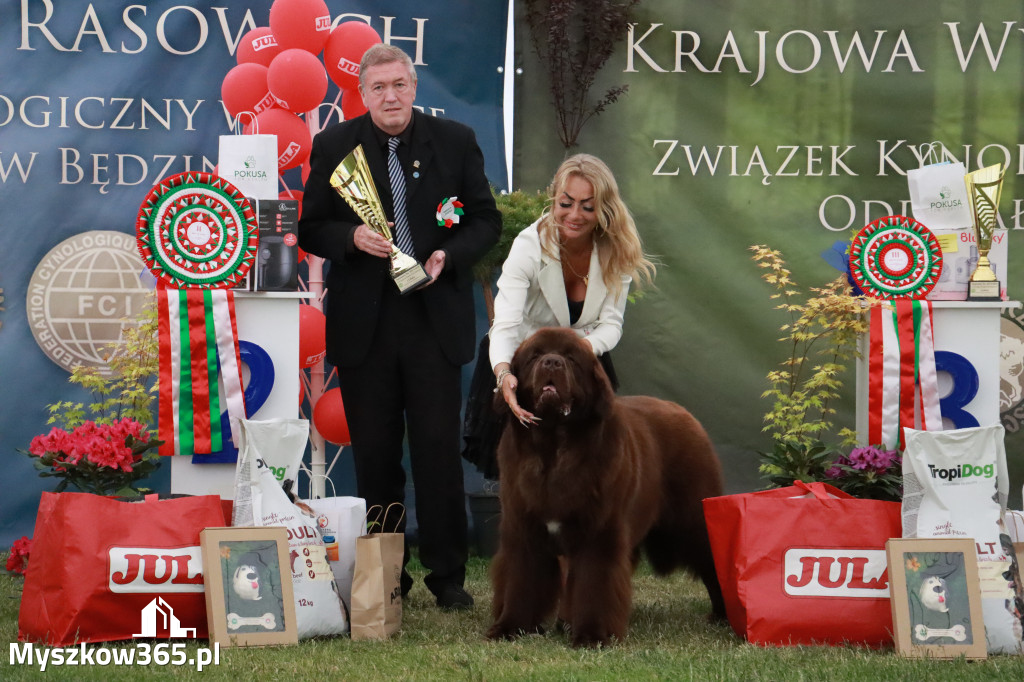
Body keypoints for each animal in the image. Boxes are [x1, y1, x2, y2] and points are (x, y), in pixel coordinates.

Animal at [487, 327, 729, 647]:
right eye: (535, 356)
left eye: (571, 358)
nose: (552, 362)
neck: (554, 446)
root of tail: (682, 411)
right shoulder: (524, 527)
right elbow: (521, 580)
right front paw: (509, 627)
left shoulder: (599, 530)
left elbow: (595, 582)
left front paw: (592, 636)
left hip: (693, 518)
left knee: (712, 561)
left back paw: (724, 615)